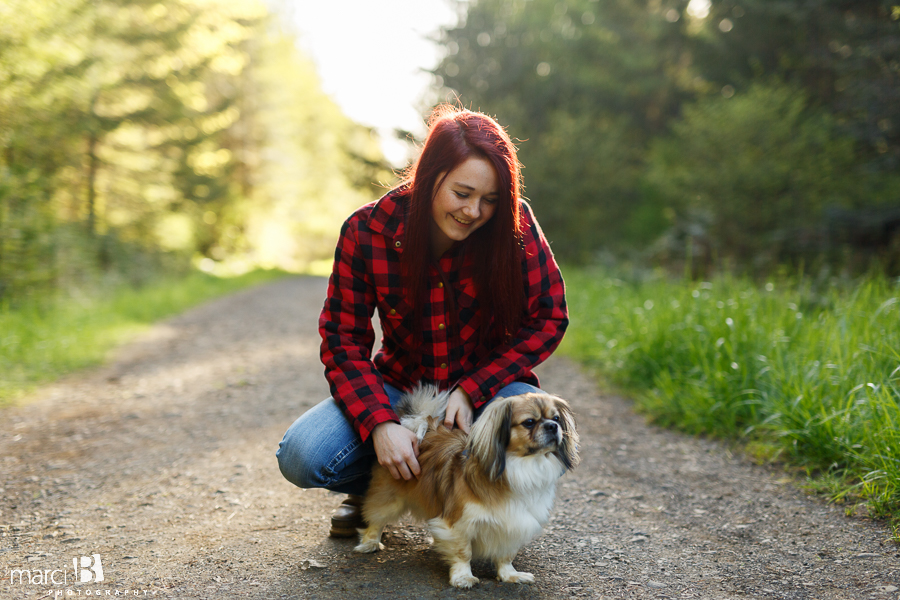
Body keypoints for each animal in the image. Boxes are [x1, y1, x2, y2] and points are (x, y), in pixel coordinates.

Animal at [352, 384, 576, 584]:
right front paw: (463, 577)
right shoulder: (457, 522)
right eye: (529, 422)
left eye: (556, 419)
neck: (522, 465)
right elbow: (463, 552)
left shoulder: (514, 522)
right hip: (389, 498)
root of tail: (421, 424)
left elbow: (506, 554)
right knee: (376, 519)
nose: (552, 426)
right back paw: (370, 543)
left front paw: (510, 575)